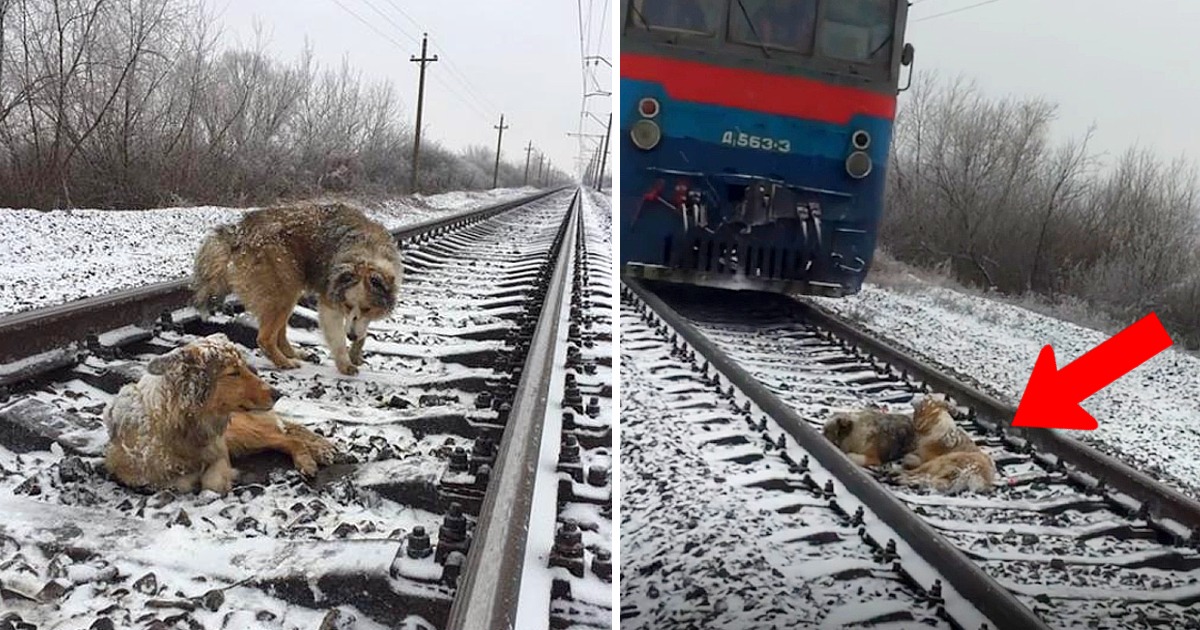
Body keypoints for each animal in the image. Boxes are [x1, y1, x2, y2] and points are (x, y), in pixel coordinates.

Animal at [103, 331, 338, 494]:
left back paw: (309, 459)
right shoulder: (132, 472)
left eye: (245, 367)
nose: (278, 393)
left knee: (288, 438)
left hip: (242, 433)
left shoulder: (220, 450)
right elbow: (176, 482)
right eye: (233, 373)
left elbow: (211, 483)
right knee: (287, 435)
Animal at [189, 204, 400, 376]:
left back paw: (296, 354)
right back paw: (284, 362)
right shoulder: (330, 302)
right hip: (284, 289)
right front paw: (345, 363)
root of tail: (239, 231)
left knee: (280, 334)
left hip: (289, 288)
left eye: (367, 308)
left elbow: (362, 330)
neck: (366, 252)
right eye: (347, 306)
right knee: (265, 338)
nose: (352, 336)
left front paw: (355, 351)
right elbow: (338, 338)